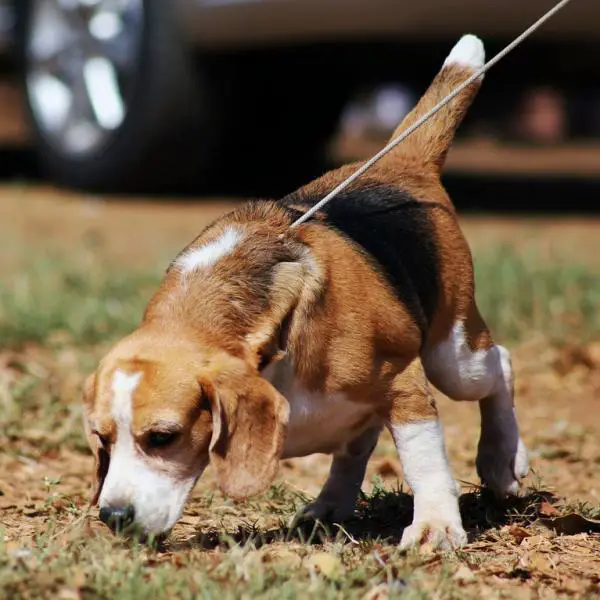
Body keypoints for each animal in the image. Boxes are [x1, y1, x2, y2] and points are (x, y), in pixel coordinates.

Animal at [85, 35, 528, 552]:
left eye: (162, 437)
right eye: (103, 439)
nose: (114, 516)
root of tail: (400, 165)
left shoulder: (404, 382)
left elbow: (424, 460)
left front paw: (435, 525)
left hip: (452, 356)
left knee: (499, 363)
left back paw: (502, 458)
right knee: (357, 446)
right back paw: (330, 504)